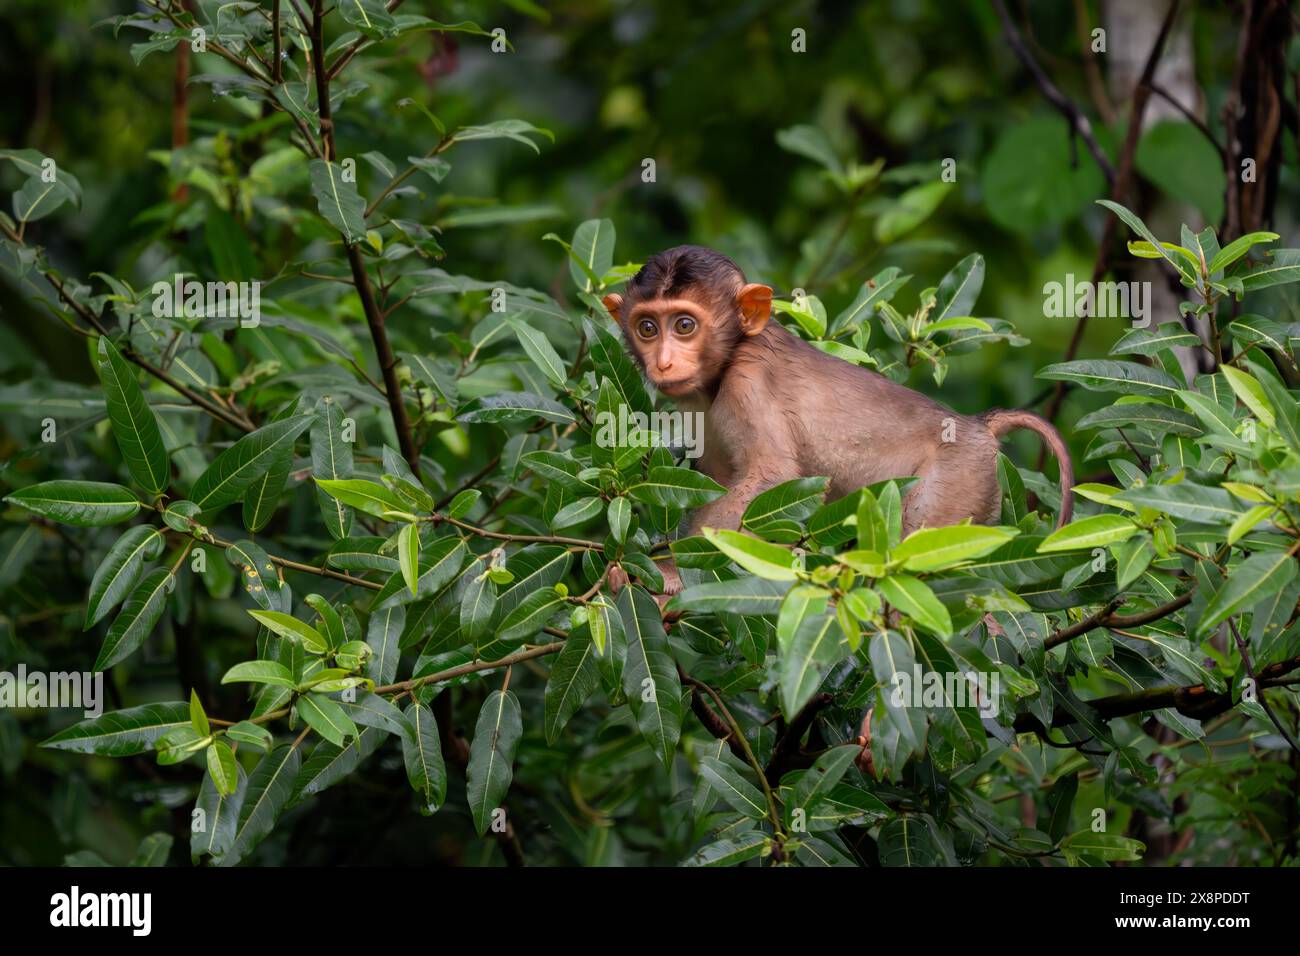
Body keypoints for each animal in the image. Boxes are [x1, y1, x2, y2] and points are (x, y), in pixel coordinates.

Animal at [602, 245, 1075, 597]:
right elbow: (717, 478)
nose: (663, 362)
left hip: (960, 480)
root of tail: (978, 425)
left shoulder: (748, 385)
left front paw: (668, 572)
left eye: (684, 325)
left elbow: (771, 477)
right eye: (647, 327)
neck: (732, 356)